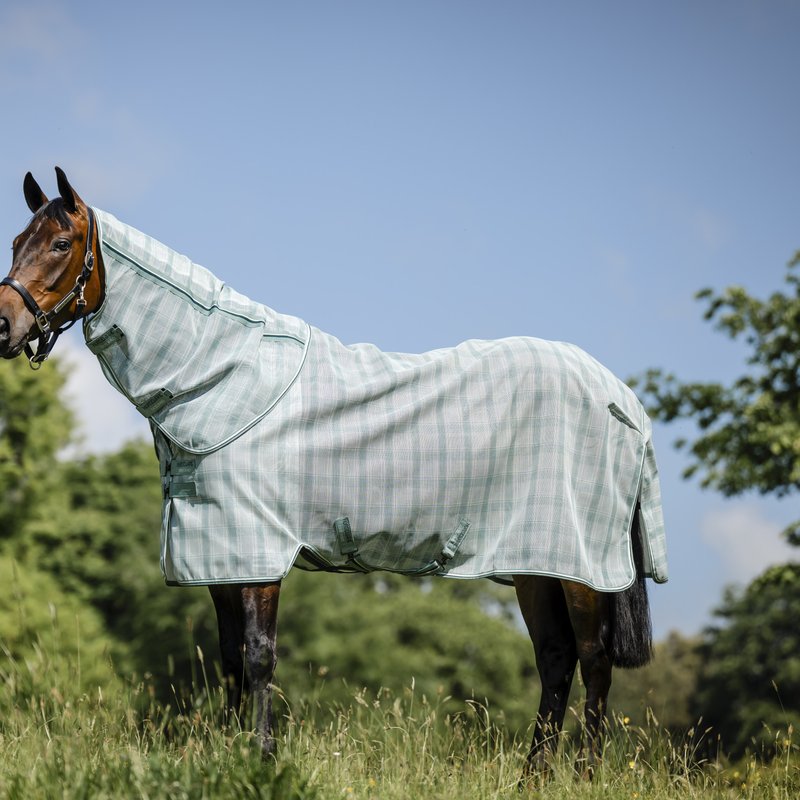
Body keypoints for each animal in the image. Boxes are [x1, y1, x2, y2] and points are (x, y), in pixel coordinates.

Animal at [0, 168, 667, 782]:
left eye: (61, 244)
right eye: (15, 242)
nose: (4, 325)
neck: (224, 374)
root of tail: (622, 399)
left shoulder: (258, 553)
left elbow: (259, 657)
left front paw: (264, 761)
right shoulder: (219, 555)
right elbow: (230, 661)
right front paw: (230, 759)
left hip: (580, 568)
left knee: (594, 658)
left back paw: (584, 774)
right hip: (535, 564)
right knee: (555, 658)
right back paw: (533, 777)